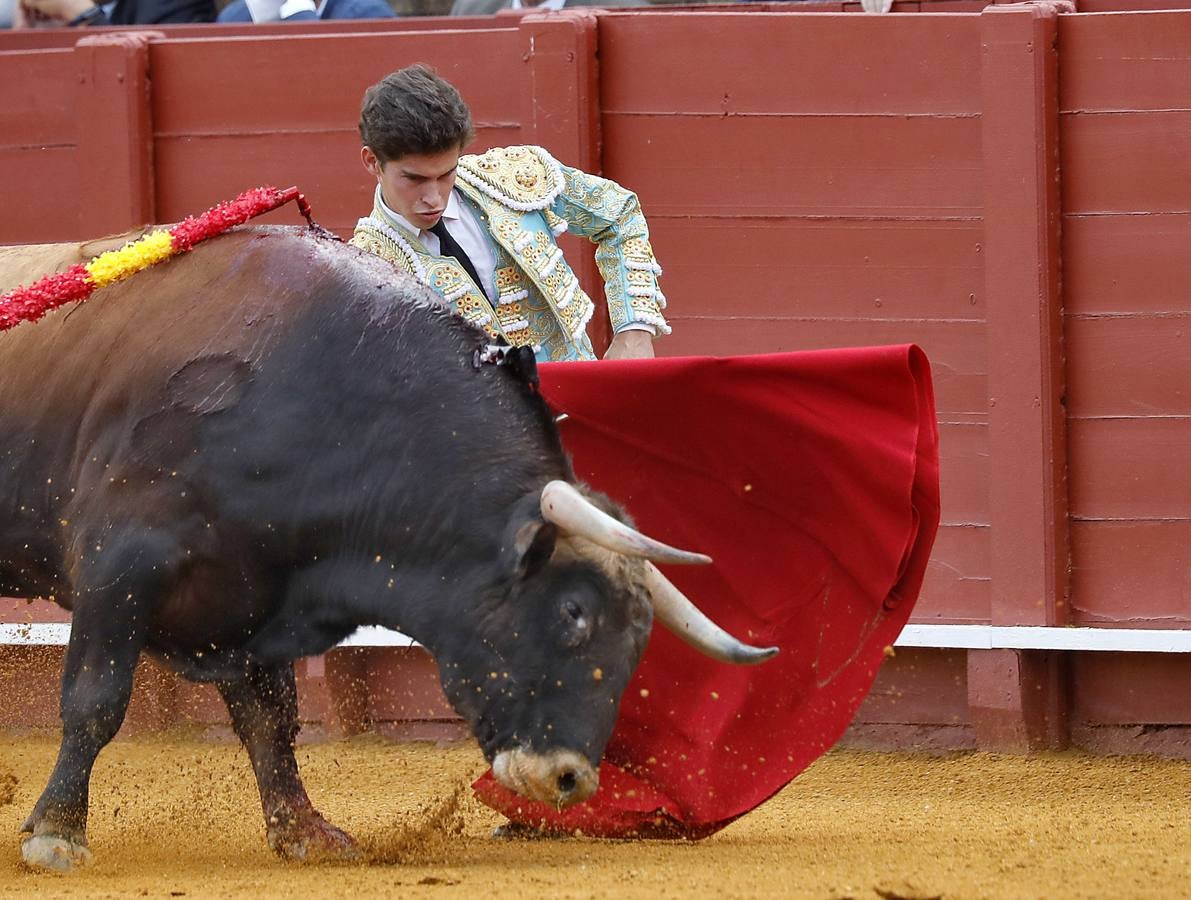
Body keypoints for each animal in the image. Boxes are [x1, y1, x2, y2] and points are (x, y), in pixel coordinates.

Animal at [0, 226, 771, 871]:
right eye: (573, 613)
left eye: (641, 638)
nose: (570, 779)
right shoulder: (118, 569)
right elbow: (96, 700)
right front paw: (56, 834)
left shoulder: (251, 598)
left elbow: (271, 719)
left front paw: (305, 831)